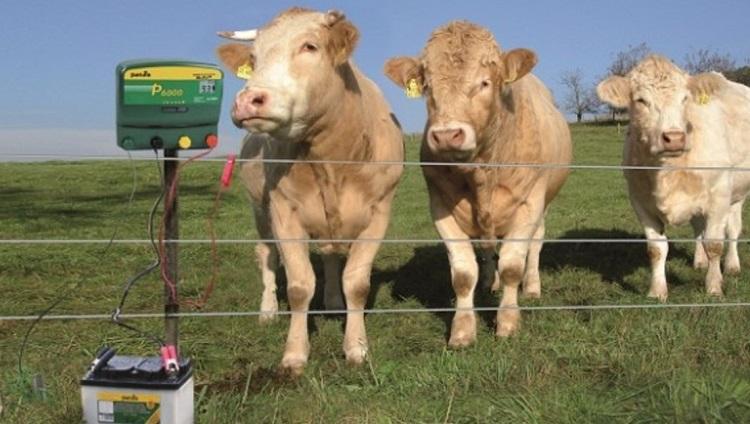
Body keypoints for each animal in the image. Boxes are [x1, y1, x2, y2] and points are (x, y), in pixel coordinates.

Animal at [217, 8, 406, 374]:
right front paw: (294, 354)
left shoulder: (379, 212)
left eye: (310, 46)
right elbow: (299, 286)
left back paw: (333, 303)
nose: (247, 100)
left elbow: (356, 283)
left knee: (331, 255)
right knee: (266, 255)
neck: (329, 159)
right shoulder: (283, 211)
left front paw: (356, 346)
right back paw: (267, 311)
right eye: (253, 57)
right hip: (259, 209)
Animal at [384, 20, 572, 344]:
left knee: (535, 244)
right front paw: (462, 330)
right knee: (486, 248)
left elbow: (512, 265)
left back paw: (532, 286)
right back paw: (488, 283)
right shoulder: (440, 206)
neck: (481, 172)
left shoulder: (529, 203)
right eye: (427, 87)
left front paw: (507, 322)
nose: (446, 135)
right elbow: (463, 273)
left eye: (484, 83)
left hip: (545, 202)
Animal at [600, 56, 750, 300]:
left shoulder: (719, 196)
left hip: (737, 194)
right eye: (641, 100)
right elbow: (656, 249)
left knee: (733, 230)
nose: (674, 138)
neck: (668, 172)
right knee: (698, 228)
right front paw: (657, 291)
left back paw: (732, 265)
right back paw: (699, 261)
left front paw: (714, 287)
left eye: (685, 99)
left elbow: (714, 244)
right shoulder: (640, 201)